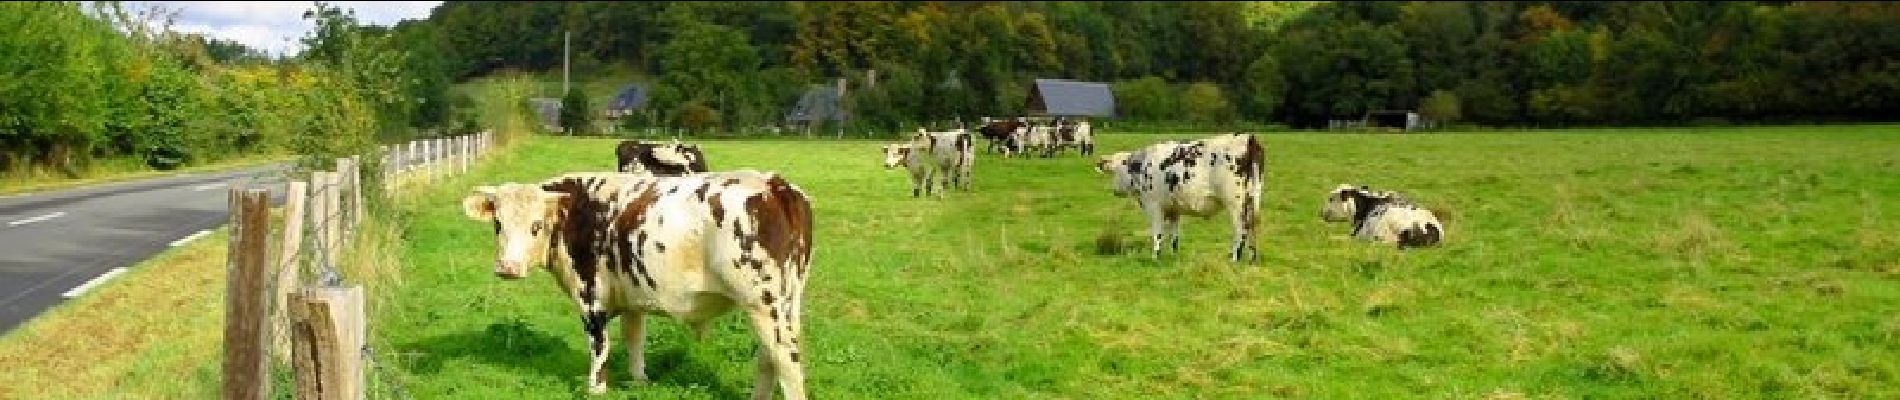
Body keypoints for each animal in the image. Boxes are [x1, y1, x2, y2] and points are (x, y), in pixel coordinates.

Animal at [465, 170, 817, 398]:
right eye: (498, 224)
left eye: (536, 225)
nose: (508, 268)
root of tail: (774, 184)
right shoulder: (632, 295)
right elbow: (634, 337)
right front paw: (639, 382)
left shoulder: (591, 298)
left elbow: (600, 347)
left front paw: (596, 389)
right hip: (786, 302)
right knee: (768, 359)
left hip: (762, 304)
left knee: (786, 361)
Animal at [1102, 132, 1261, 261]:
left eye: (1116, 170)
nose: (1115, 190)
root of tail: (1248, 137)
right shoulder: (1173, 209)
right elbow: (1174, 236)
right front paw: (1173, 256)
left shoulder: (1154, 206)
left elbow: (1157, 233)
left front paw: (1155, 256)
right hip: (1253, 198)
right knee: (1253, 225)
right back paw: (1252, 257)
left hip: (1235, 204)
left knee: (1241, 229)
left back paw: (1234, 258)